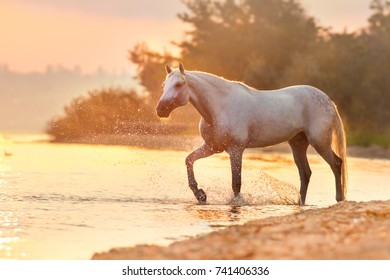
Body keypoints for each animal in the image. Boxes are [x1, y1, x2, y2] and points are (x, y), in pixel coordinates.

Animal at [155, 62, 348, 205]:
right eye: (164, 85)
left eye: (179, 84)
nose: (160, 110)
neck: (219, 106)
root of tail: (328, 100)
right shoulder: (212, 147)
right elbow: (189, 160)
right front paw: (200, 195)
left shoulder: (236, 149)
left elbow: (236, 182)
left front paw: (236, 203)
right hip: (298, 144)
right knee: (305, 173)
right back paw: (300, 203)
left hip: (319, 142)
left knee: (336, 163)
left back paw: (339, 199)